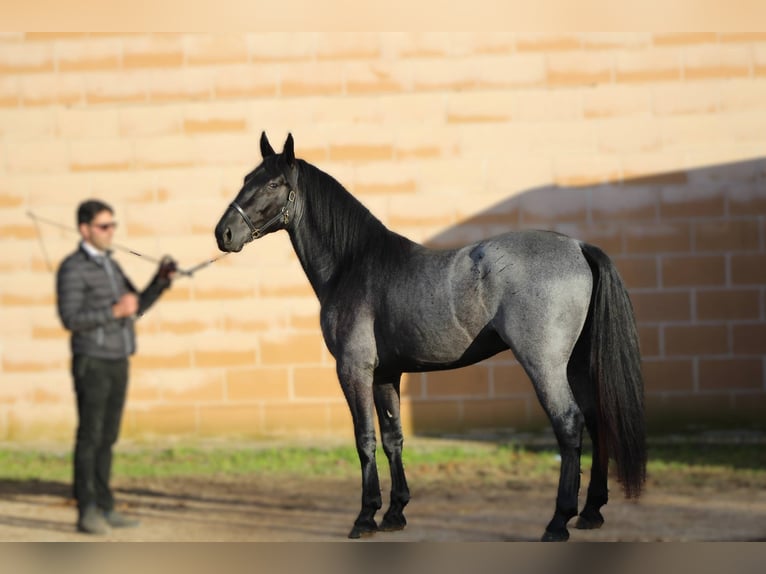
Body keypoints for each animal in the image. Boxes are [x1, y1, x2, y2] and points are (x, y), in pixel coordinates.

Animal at [213, 133, 644, 544]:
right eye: (246, 178)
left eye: (273, 184)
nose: (224, 233)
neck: (353, 265)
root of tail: (578, 247)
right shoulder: (385, 374)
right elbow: (393, 438)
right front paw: (394, 514)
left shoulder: (353, 369)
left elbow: (364, 439)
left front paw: (365, 517)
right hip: (577, 365)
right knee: (595, 418)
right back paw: (591, 513)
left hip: (545, 365)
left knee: (569, 423)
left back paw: (558, 521)